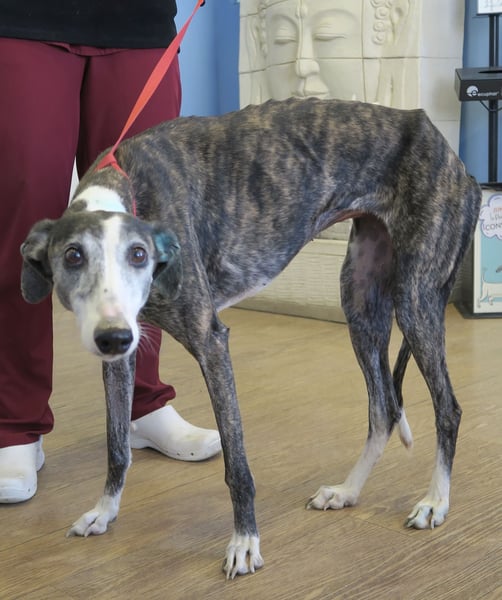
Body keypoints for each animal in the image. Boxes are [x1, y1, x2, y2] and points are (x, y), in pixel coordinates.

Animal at [20, 97, 481, 579]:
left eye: (139, 254)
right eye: (72, 256)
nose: (112, 337)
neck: (128, 188)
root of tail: (456, 163)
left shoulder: (211, 341)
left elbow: (236, 464)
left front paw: (244, 542)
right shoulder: (121, 355)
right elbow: (116, 447)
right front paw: (104, 512)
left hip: (414, 299)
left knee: (447, 408)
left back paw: (435, 502)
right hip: (359, 298)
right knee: (384, 409)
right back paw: (347, 491)